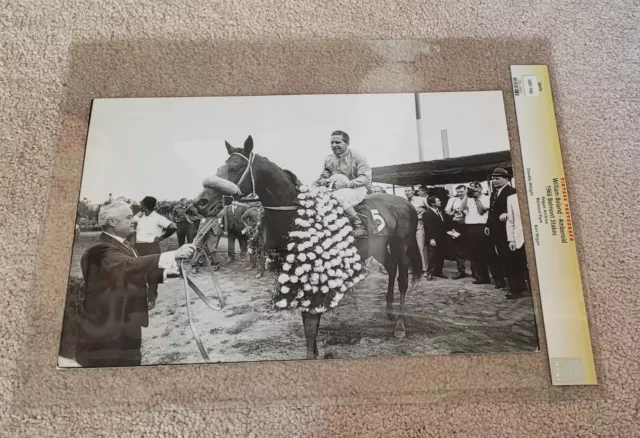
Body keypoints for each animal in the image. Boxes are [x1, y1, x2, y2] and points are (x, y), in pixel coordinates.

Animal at [195, 136, 424, 360]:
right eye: (219, 168)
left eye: (235, 167)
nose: (201, 202)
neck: (295, 212)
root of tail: (407, 204)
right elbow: (308, 321)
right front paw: (313, 352)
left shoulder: (314, 272)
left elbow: (311, 322)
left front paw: (311, 354)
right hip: (380, 249)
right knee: (391, 270)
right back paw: (389, 311)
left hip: (402, 246)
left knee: (402, 280)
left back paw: (400, 326)